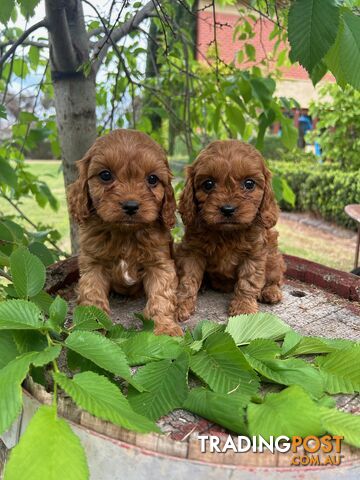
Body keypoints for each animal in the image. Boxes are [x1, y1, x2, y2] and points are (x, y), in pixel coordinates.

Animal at [68, 129, 183, 336]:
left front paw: (165, 328)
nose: (131, 205)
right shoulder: (93, 264)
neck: (125, 234)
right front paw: (92, 328)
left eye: (152, 179)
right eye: (105, 175)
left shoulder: (160, 264)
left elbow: (161, 296)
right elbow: (92, 294)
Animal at [176, 141, 286, 320]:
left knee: (276, 278)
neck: (227, 233)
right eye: (208, 184)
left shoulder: (254, 253)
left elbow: (248, 281)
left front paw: (244, 309)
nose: (228, 209)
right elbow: (188, 279)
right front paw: (179, 304)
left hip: (274, 257)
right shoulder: (192, 251)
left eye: (249, 184)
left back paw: (270, 291)